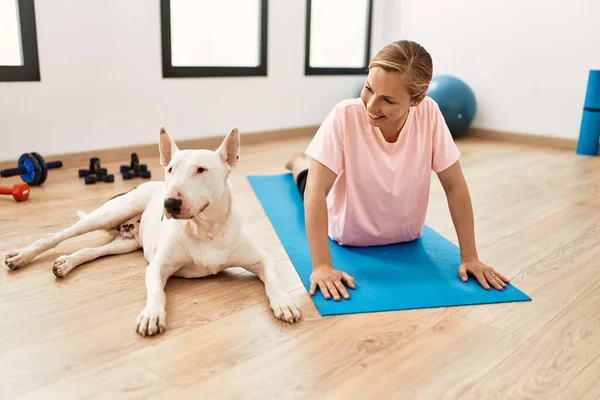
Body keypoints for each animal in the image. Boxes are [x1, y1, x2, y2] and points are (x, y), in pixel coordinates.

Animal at [4, 126, 302, 336]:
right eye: (170, 169)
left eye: (201, 169)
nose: (169, 204)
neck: (206, 229)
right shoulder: (158, 266)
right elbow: (157, 292)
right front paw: (152, 315)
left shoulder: (261, 259)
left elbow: (273, 279)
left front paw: (284, 303)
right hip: (109, 213)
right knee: (55, 236)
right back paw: (21, 257)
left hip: (124, 243)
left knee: (91, 250)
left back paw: (66, 263)